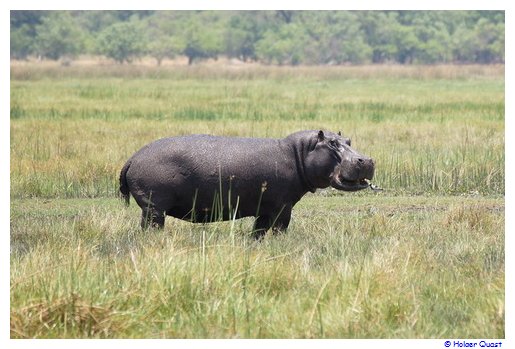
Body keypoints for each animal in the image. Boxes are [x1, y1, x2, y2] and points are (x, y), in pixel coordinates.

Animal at [119, 130, 374, 239]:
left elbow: (258, 231)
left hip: (152, 208)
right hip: (154, 208)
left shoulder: (265, 209)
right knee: (151, 226)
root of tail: (132, 158)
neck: (299, 153)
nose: (367, 160)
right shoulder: (283, 207)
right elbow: (280, 229)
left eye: (348, 140)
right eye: (332, 143)